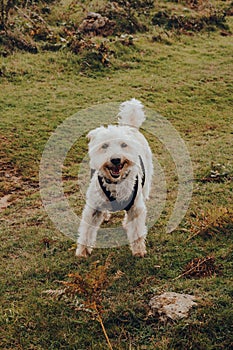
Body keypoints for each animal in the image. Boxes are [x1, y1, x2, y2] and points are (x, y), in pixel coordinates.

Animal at [75, 98, 154, 258]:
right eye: (104, 146)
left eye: (124, 145)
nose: (116, 159)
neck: (116, 183)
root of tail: (131, 128)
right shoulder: (93, 208)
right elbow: (86, 231)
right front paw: (83, 251)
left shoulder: (135, 207)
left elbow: (137, 231)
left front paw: (138, 250)